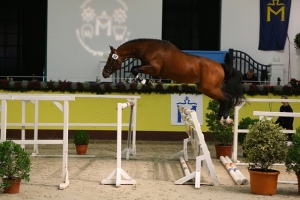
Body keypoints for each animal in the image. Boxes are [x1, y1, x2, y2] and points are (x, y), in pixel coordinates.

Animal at [102, 38, 245, 124]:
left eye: (110, 58)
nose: (104, 73)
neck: (149, 48)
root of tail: (220, 66)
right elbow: (135, 69)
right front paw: (147, 82)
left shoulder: (154, 68)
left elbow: (134, 69)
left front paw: (146, 82)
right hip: (205, 89)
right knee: (223, 100)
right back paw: (222, 119)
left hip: (210, 88)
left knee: (227, 98)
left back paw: (225, 119)